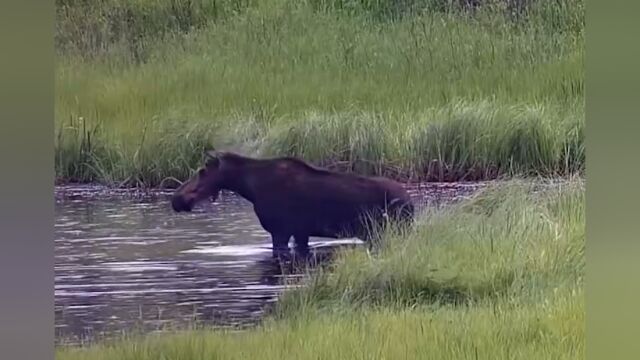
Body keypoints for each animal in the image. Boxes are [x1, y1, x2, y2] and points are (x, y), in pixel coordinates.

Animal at [171, 150, 416, 255]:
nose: (177, 199)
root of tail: (411, 203)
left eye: (202, 172)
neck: (249, 188)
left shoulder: (280, 231)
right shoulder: (300, 232)